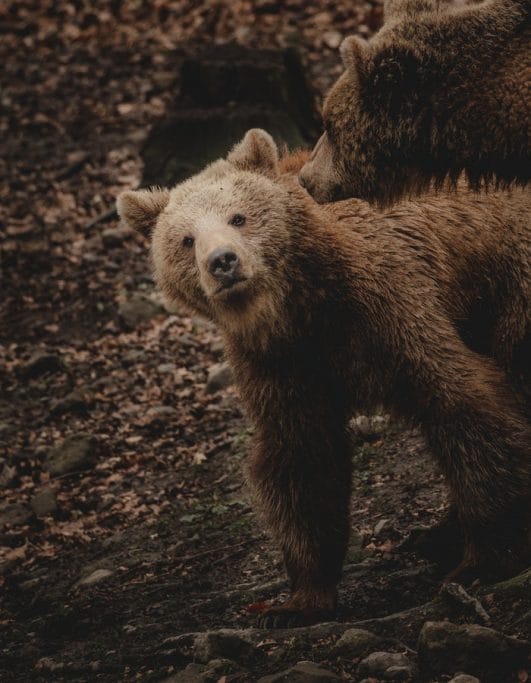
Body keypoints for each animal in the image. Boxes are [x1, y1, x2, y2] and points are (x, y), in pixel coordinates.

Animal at [117, 129, 531, 628]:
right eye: (185, 239)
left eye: (238, 216)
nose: (223, 261)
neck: (302, 305)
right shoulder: (282, 365)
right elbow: (302, 459)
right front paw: (295, 601)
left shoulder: (390, 307)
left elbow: (461, 403)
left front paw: (485, 557)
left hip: (511, 282)